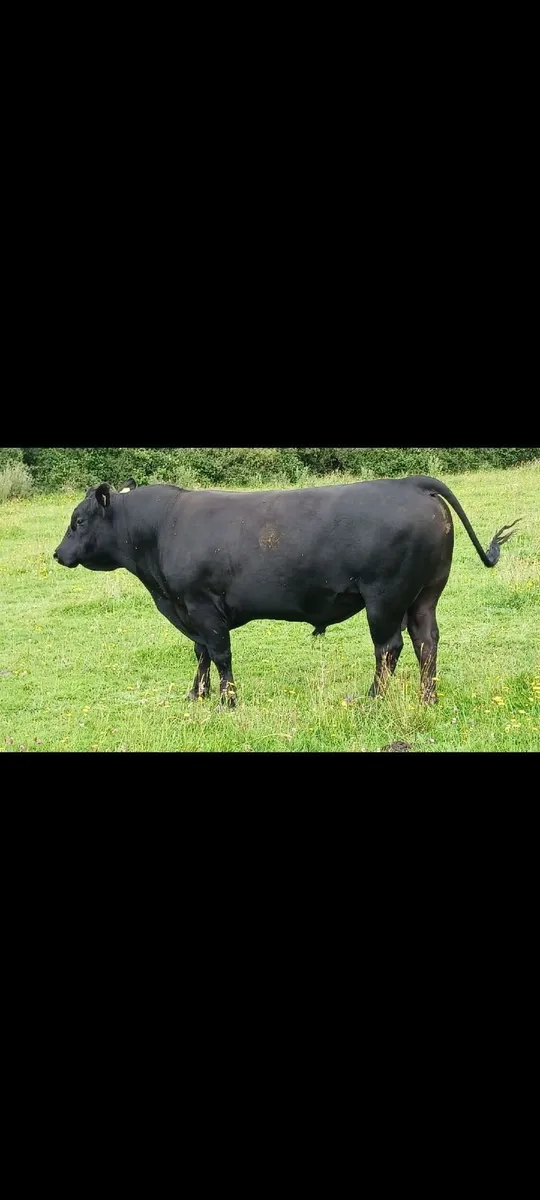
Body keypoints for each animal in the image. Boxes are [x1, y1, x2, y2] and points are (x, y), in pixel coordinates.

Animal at [53, 476, 520, 707]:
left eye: (79, 521)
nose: (58, 554)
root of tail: (410, 482)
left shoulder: (202, 606)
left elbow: (219, 653)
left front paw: (227, 702)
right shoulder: (187, 609)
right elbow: (201, 653)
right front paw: (196, 695)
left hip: (384, 599)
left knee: (389, 647)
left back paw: (372, 700)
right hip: (424, 595)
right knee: (427, 642)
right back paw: (428, 699)